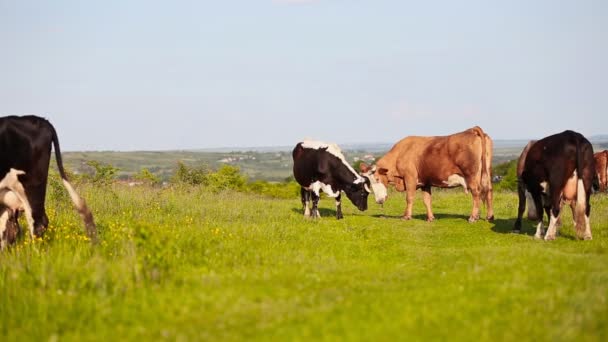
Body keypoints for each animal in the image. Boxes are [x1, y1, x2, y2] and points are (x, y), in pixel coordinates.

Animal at [358, 125, 492, 222]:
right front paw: (430, 218)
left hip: (471, 175)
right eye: (369, 182)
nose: (379, 200)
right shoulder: (425, 182)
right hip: (486, 173)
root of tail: (472, 130)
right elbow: (427, 200)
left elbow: (409, 197)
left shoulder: (410, 177)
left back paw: (473, 217)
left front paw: (406, 216)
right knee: (488, 190)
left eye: (377, 179)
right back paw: (489, 217)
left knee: (476, 192)